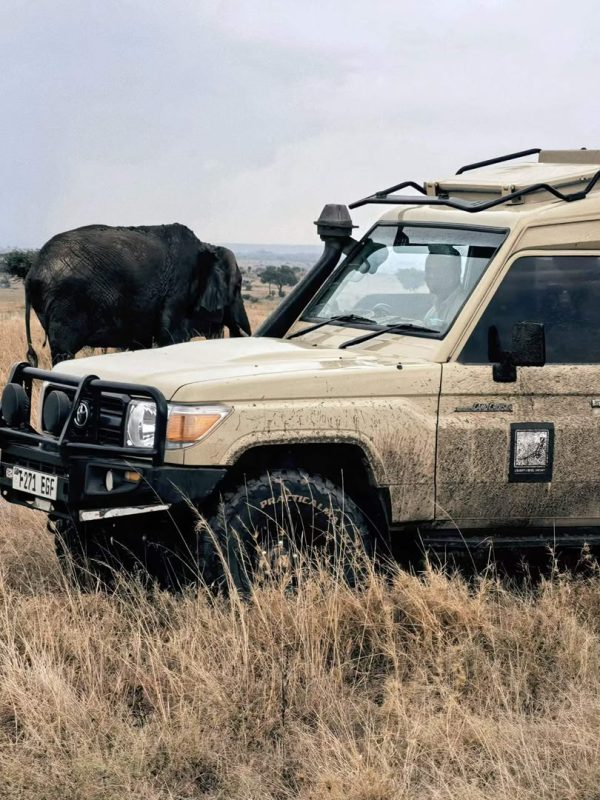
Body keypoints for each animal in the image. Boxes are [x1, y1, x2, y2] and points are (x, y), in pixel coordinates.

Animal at [25, 223, 251, 365]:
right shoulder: (177, 293)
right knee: (63, 353)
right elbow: (171, 338)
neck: (208, 248)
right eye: (238, 286)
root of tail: (32, 272)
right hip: (66, 301)